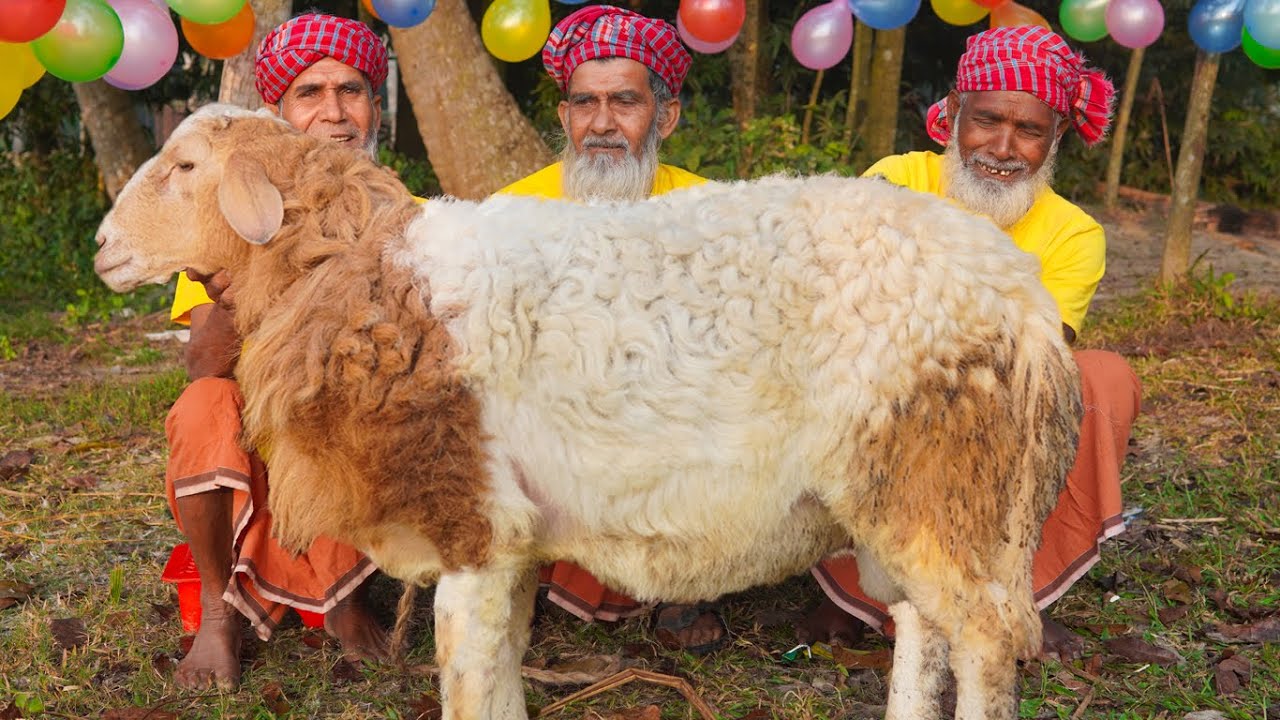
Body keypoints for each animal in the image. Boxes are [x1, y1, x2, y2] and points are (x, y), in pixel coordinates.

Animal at [95, 104, 1082, 720]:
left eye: (185, 167)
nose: (103, 247)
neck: (362, 276)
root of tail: (1026, 304)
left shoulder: (471, 523)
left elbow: (466, 677)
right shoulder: (512, 545)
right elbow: (498, 675)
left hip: (939, 480)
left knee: (986, 639)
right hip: (919, 496)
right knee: (923, 626)